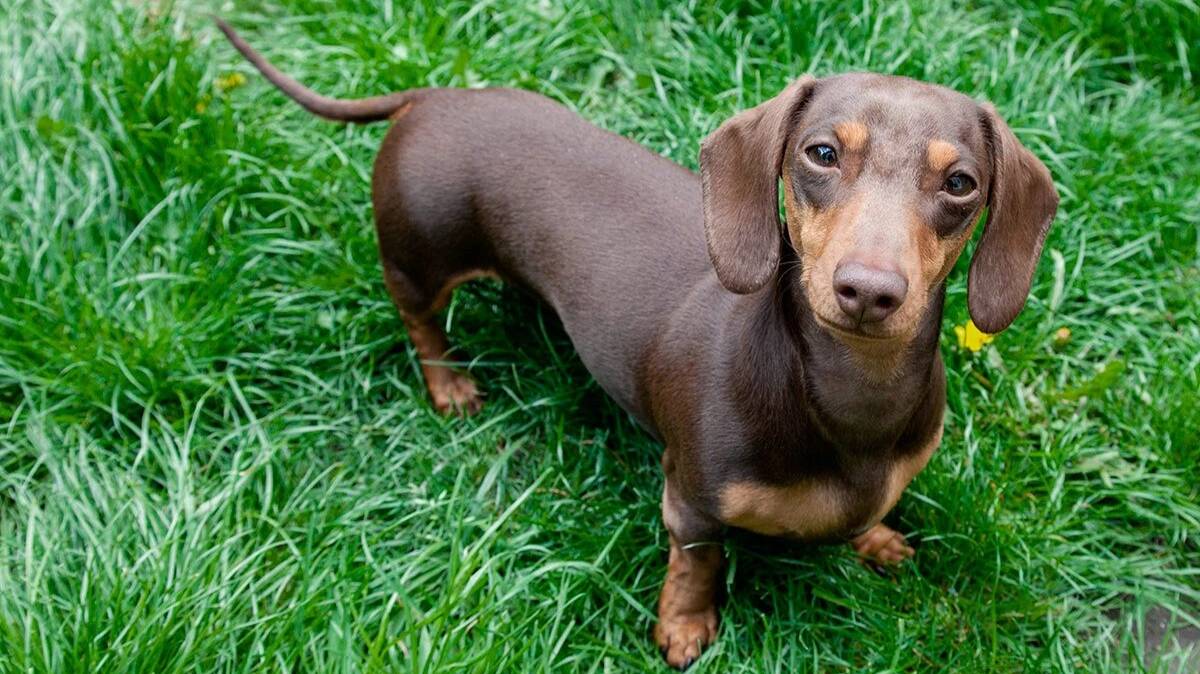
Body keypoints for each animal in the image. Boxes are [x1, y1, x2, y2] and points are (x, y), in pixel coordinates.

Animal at [218, 19, 1058, 668]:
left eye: (961, 184)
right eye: (821, 153)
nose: (870, 291)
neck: (848, 399)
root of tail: (432, 96)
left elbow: (869, 514)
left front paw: (878, 540)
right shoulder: (690, 498)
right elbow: (699, 564)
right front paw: (683, 628)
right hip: (418, 256)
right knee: (419, 320)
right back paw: (449, 384)